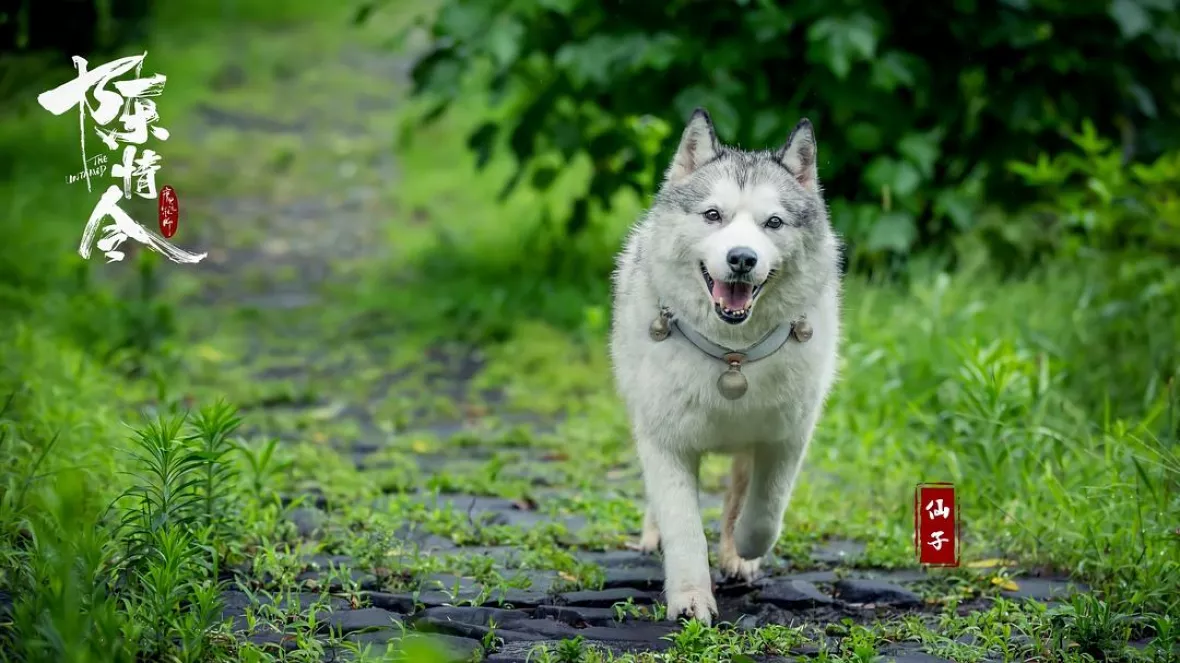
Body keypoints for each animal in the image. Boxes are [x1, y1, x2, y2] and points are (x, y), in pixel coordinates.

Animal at [608, 105, 840, 622]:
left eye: (773, 222)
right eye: (713, 215)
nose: (742, 258)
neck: (734, 356)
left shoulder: (786, 438)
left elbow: (764, 510)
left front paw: (745, 548)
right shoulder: (666, 442)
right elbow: (684, 529)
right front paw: (691, 601)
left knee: (739, 491)